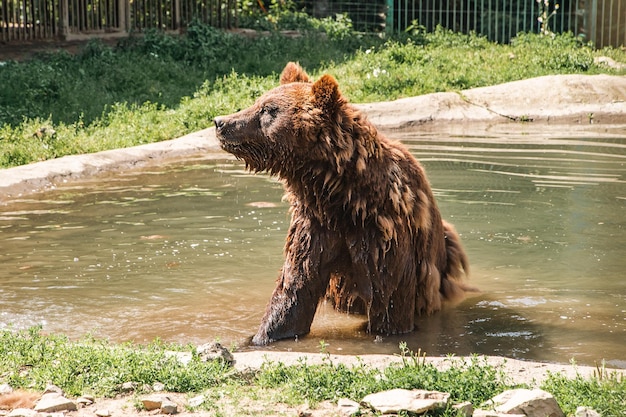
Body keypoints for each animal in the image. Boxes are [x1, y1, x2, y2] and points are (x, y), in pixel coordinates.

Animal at [213, 61, 468, 344]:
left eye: (267, 110)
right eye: (258, 101)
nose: (221, 122)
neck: (341, 196)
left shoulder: (382, 230)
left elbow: (389, 298)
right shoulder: (315, 227)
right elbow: (294, 291)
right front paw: (261, 336)